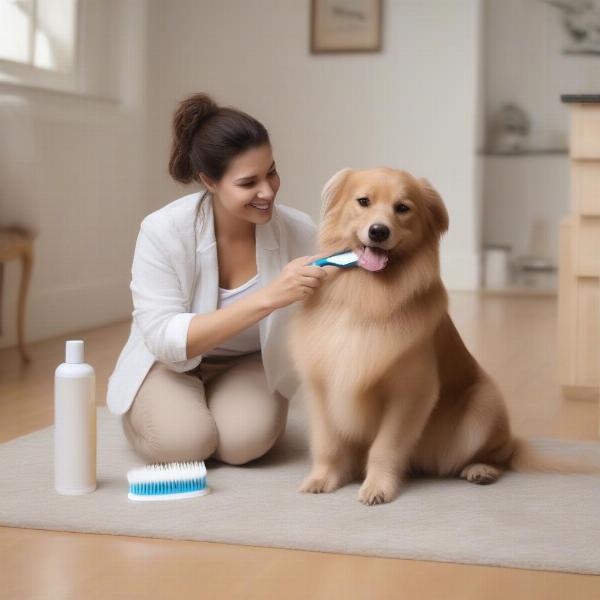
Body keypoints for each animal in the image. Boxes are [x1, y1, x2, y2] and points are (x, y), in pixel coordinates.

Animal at [288, 165, 596, 506]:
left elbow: (385, 446)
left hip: (484, 404)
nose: (379, 231)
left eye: (402, 208)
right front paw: (323, 478)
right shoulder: (321, 385)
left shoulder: (411, 392)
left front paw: (378, 487)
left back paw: (481, 470)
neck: (365, 295)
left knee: (501, 454)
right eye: (363, 201)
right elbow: (328, 443)